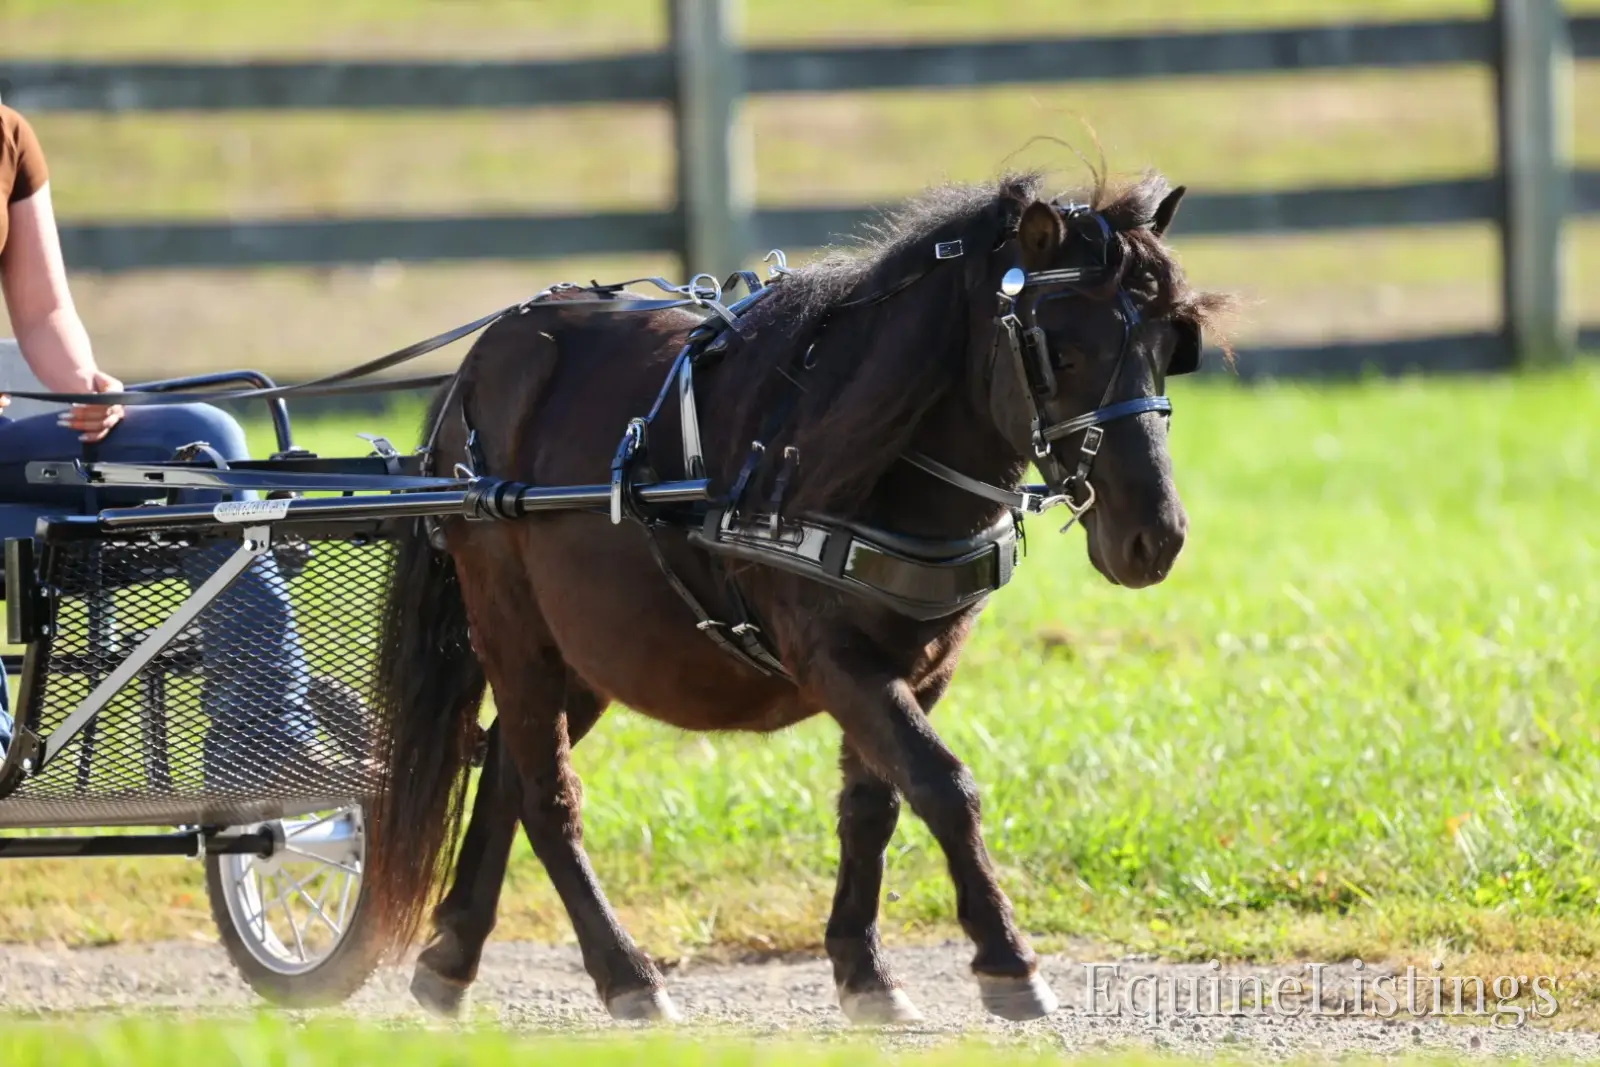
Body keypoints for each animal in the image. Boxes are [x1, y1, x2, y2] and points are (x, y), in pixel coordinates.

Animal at [366, 168, 1229, 1026]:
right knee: (548, 795)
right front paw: (1007, 957)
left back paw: (452, 956)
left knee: (506, 768)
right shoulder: (832, 657)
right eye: (1063, 351)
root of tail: (483, 362)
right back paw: (626, 973)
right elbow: (945, 784)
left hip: (588, 648)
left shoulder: (923, 662)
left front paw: (865, 969)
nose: (1156, 536)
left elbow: (876, 803)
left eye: (1168, 345)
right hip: (511, 623)